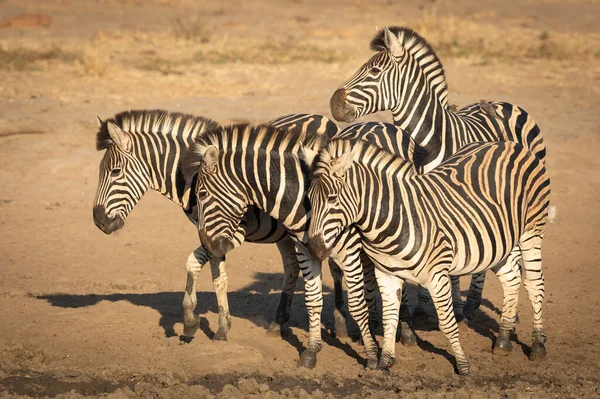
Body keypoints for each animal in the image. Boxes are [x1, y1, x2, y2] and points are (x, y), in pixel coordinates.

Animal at [91, 109, 352, 344]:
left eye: (115, 172)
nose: (98, 220)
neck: (193, 177)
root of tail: (324, 118)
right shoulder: (213, 233)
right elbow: (213, 274)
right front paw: (214, 326)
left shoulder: (230, 231)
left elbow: (200, 267)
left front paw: (198, 323)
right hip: (287, 233)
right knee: (292, 268)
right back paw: (277, 324)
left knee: (334, 268)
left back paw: (340, 326)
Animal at [308, 137, 552, 376]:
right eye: (309, 199)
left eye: (332, 198)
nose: (314, 249)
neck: (392, 220)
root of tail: (508, 143)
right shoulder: (387, 274)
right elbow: (390, 318)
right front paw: (385, 362)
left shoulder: (437, 275)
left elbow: (447, 323)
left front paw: (462, 365)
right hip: (500, 241)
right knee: (511, 280)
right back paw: (502, 341)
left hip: (531, 231)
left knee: (535, 285)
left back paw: (538, 346)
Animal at [328, 25, 548, 322]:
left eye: (374, 71)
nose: (333, 104)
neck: (430, 142)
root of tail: (505, 102)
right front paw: (423, 306)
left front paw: (453, 306)